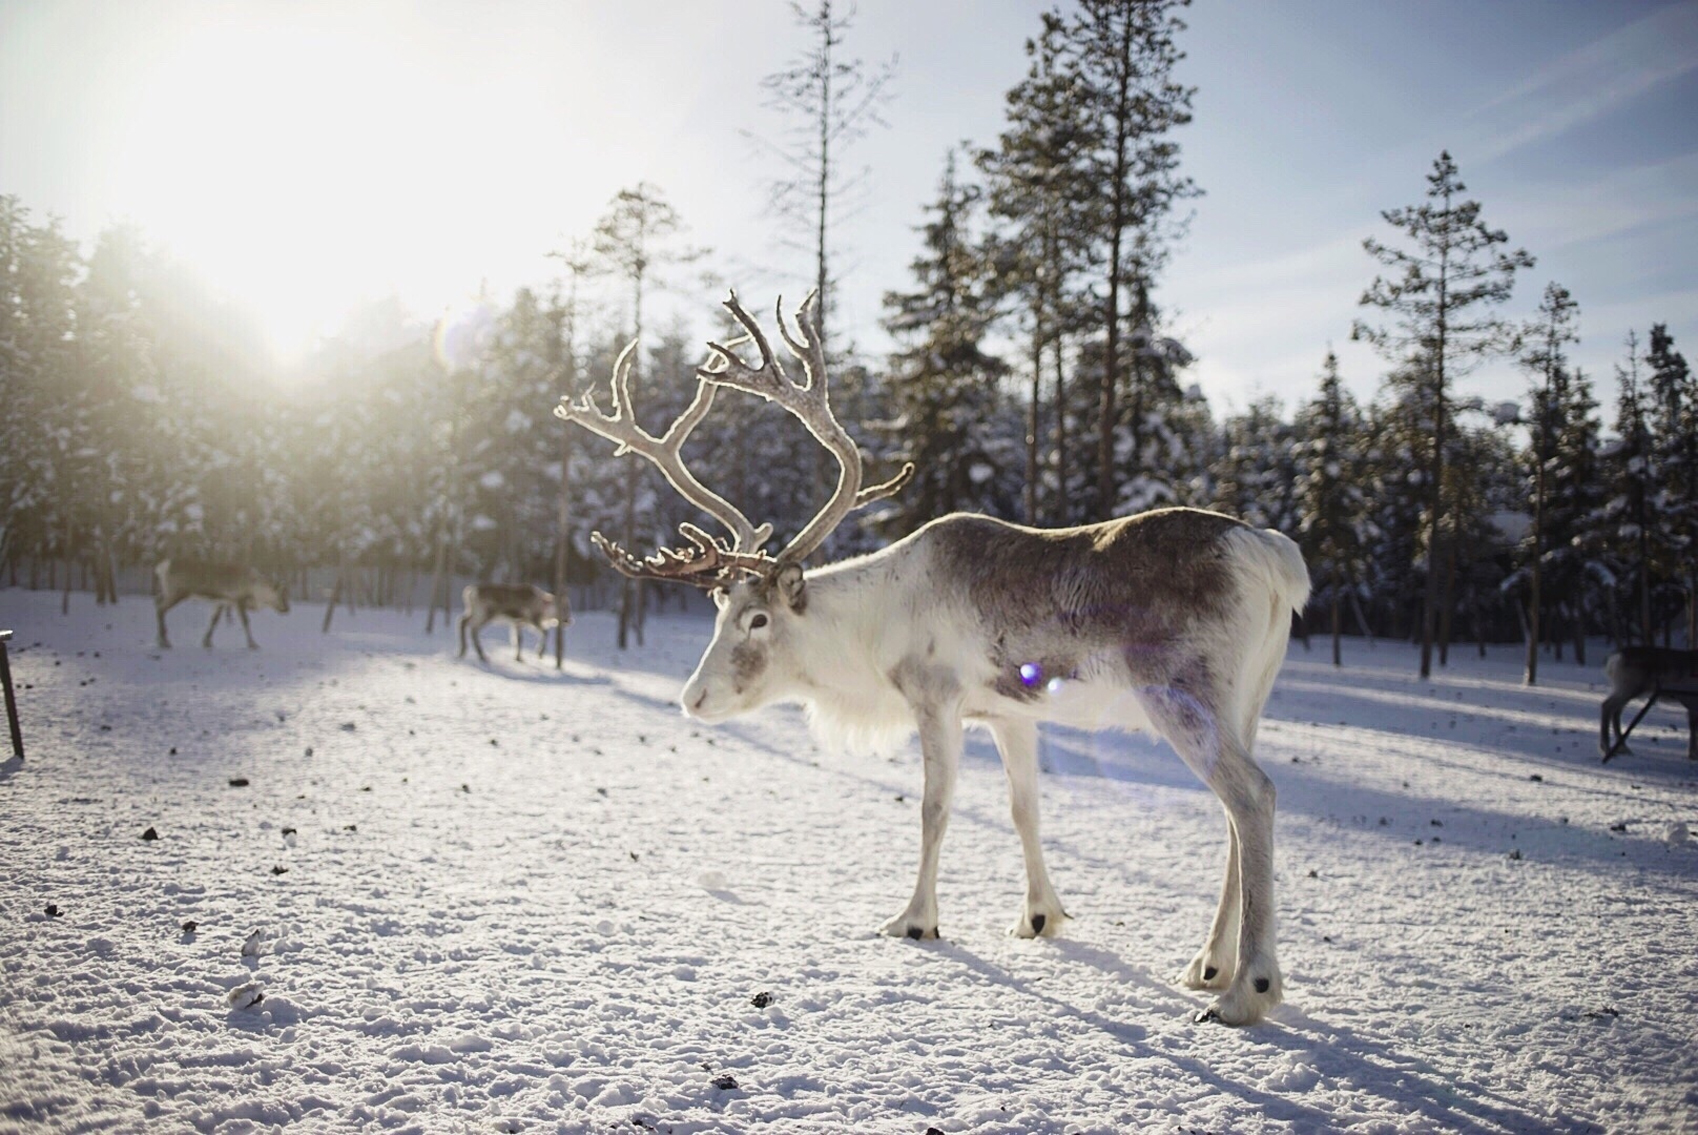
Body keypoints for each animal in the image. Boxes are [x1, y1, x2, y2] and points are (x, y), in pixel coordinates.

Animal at [155, 559, 290, 650]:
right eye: (280, 594)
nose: (287, 609)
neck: (254, 588)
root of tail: (162, 567)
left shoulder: (222, 601)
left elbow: (214, 620)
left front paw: (207, 642)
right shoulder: (238, 600)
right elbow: (246, 621)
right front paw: (253, 644)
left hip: (167, 592)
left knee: (158, 604)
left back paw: (160, 640)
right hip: (177, 592)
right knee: (161, 609)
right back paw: (165, 642)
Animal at [555, 292, 1311, 1026]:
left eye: (757, 618)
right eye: (717, 611)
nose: (693, 697)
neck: (873, 630)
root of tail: (1274, 556)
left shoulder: (934, 695)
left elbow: (935, 806)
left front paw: (915, 919)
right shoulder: (1009, 712)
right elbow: (1024, 808)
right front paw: (1040, 916)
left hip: (1182, 691)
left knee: (1254, 796)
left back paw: (1247, 989)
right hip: (1249, 698)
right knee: (1235, 812)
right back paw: (1208, 964)